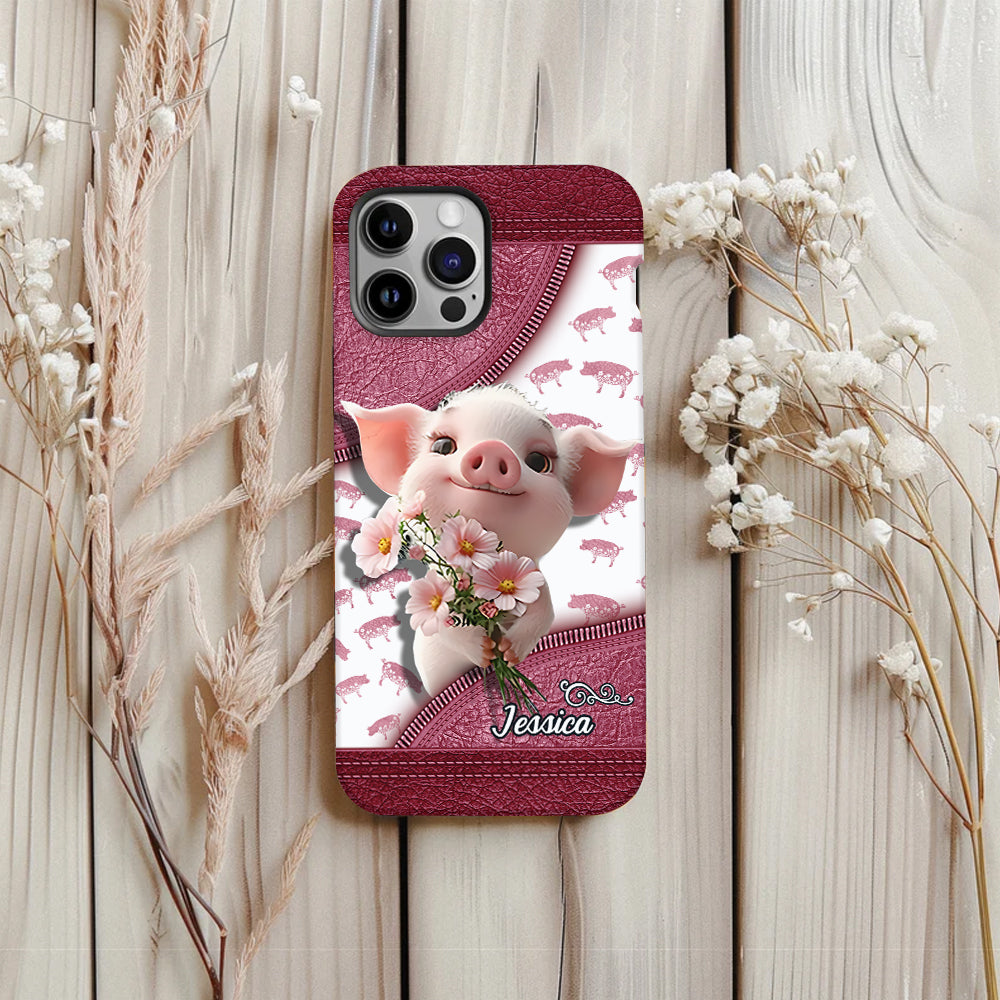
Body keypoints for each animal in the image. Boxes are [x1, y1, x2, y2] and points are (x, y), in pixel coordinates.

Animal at [342, 385, 633, 697]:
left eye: (538, 462)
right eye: (442, 446)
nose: (493, 448)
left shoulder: (537, 581)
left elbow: (545, 612)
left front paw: (507, 653)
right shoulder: (437, 590)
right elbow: (443, 626)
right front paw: (485, 652)